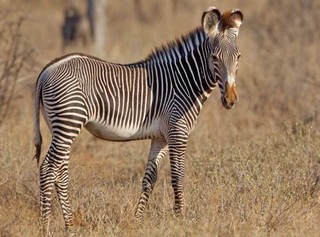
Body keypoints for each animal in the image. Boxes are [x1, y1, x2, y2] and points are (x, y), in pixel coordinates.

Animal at [33, 6, 242, 234]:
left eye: (238, 57)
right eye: (214, 58)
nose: (230, 100)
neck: (184, 81)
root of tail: (47, 70)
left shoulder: (161, 137)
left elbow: (150, 178)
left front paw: (138, 219)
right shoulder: (178, 132)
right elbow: (178, 176)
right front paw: (181, 218)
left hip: (60, 126)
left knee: (60, 172)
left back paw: (70, 225)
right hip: (69, 122)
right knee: (48, 169)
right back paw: (46, 227)